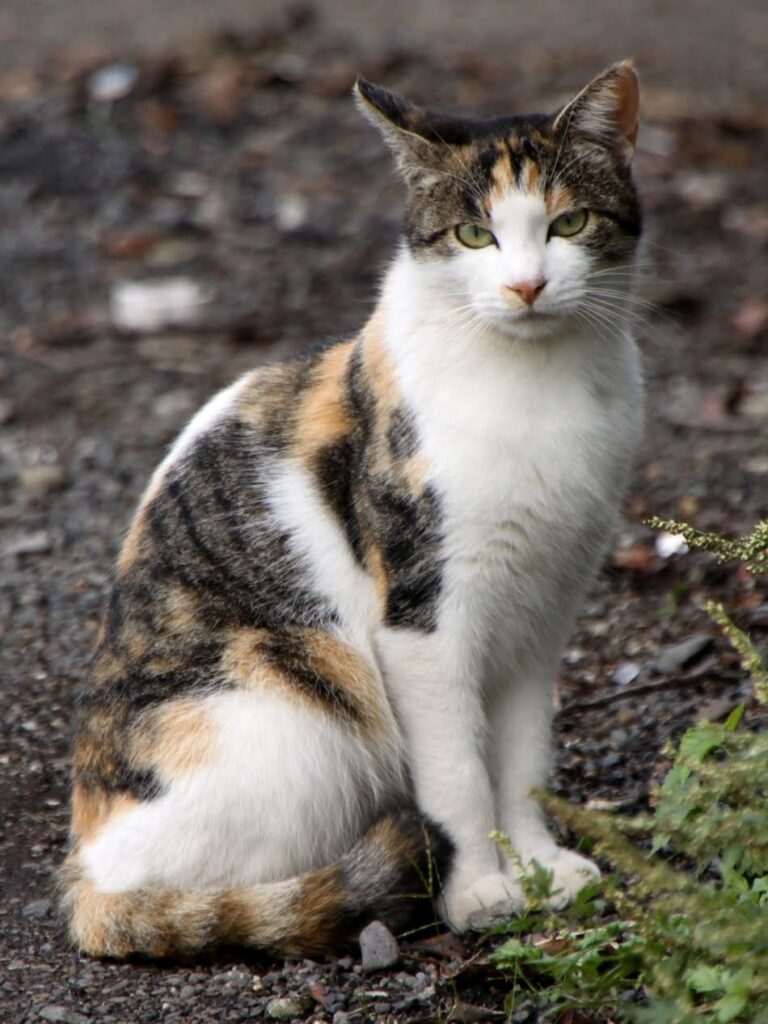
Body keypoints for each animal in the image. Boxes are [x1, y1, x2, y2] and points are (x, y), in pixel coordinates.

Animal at [63, 61, 647, 958]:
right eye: (474, 236)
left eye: (569, 222)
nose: (526, 285)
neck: (536, 387)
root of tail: (86, 875)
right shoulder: (422, 619)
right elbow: (458, 773)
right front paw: (480, 889)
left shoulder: (543, 611)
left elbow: (523, 759)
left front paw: (540, 864)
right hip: (295, 719)